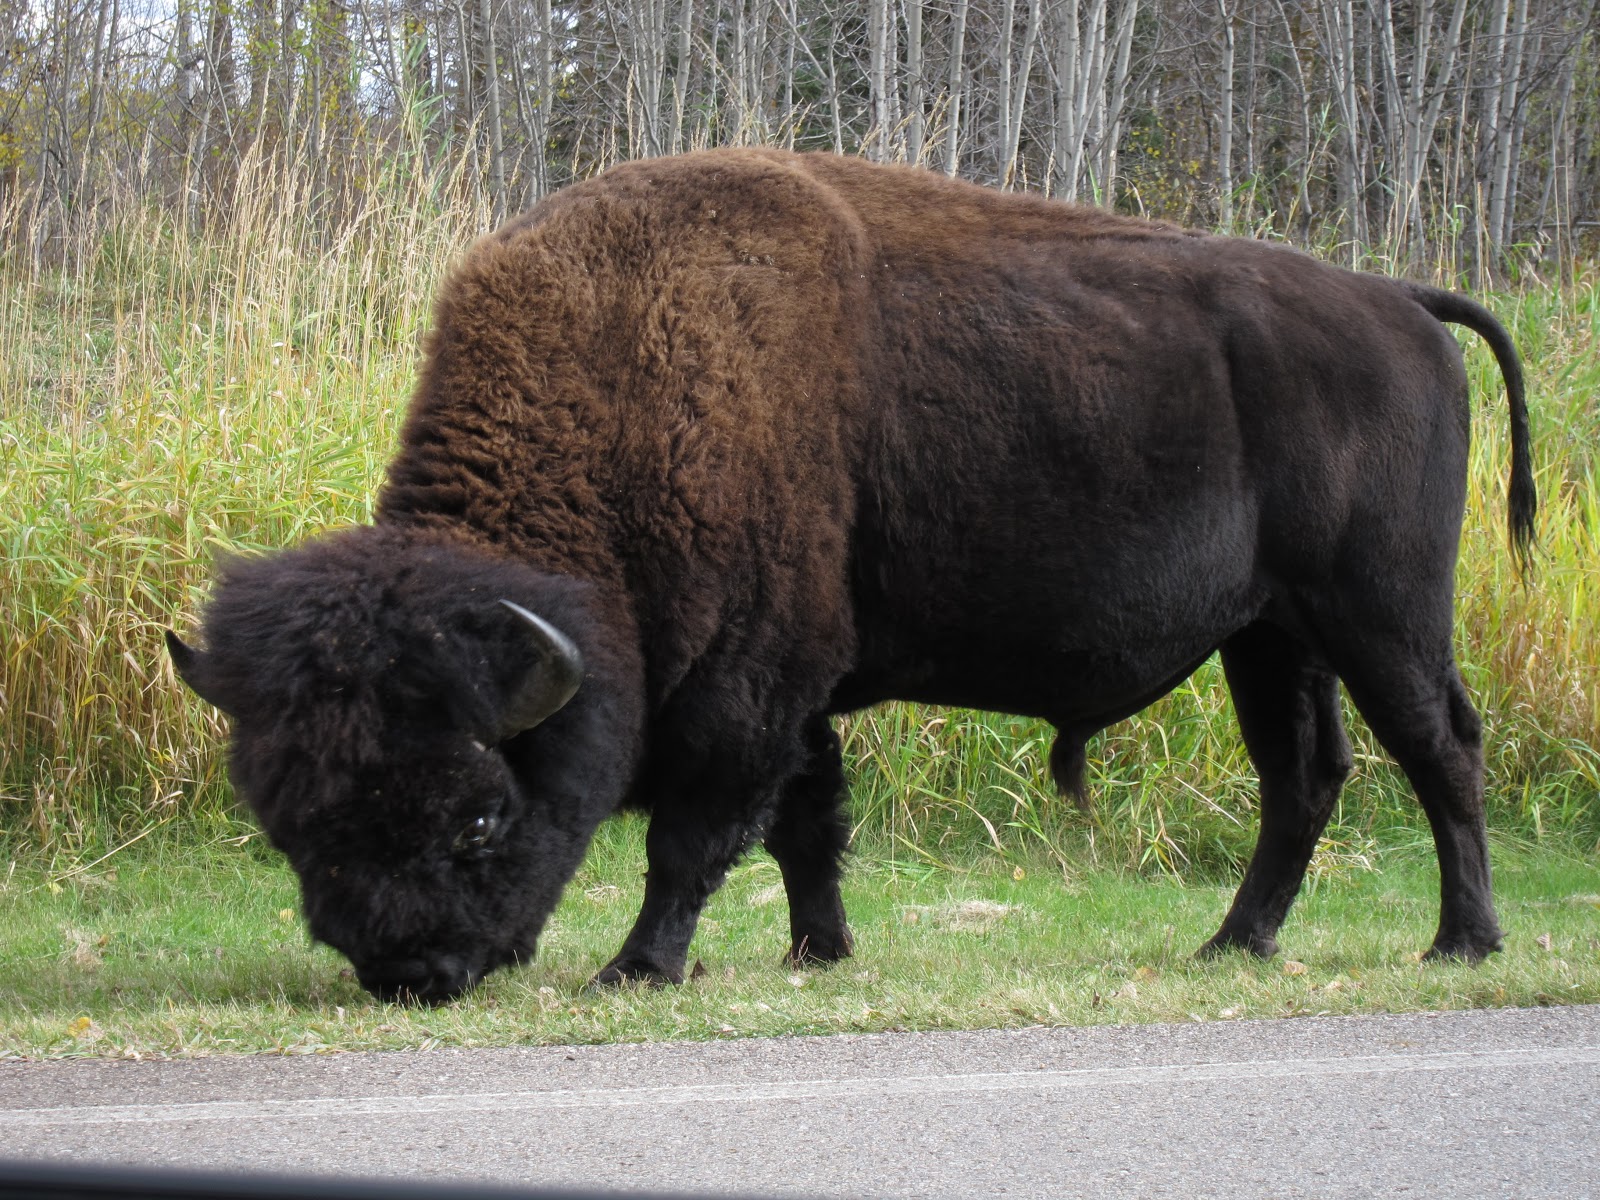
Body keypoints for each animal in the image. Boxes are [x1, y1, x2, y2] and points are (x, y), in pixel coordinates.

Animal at [168, 148, 1535, 1002]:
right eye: (289, 821)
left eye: (478, 815)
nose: (409, 974)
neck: (629, 389)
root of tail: (1396, 302)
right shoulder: (803, 686)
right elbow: (806, 824)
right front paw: (816, 954)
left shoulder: (750, 684)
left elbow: (700, 833)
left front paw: (637, 967)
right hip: (1270, 635)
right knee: (1302, 777)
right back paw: (1230, 946)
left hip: (1380, 615)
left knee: (1438, 750)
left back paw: (1460, 946)